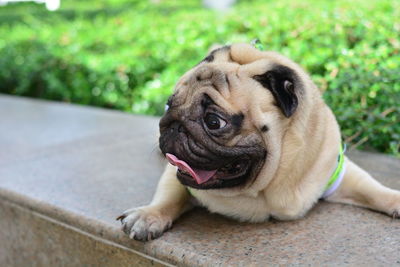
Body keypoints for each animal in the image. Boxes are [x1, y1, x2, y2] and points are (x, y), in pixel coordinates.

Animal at [117, 43, 400, 242]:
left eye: (214, 122)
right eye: (168, 105)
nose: (174, 126)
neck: (266, 187)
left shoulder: (336, 170)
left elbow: (372, 189)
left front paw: (395, 199)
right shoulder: (176, 174)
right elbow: (169, 194)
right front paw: (149, 216)